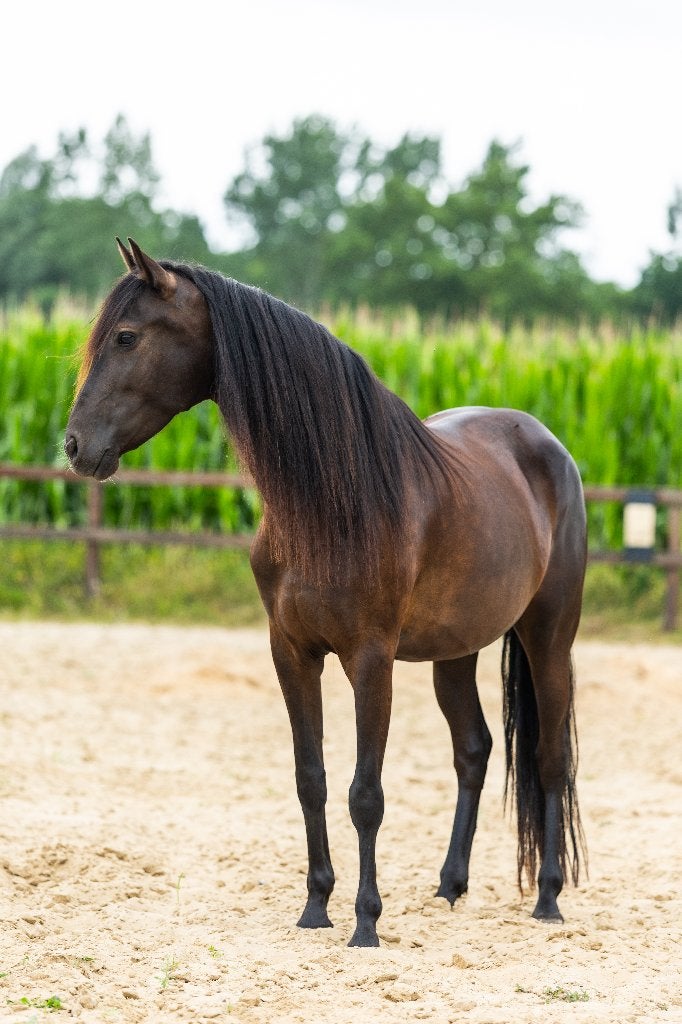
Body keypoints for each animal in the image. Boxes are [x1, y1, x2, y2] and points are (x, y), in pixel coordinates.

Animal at [65, 238, 587, 948]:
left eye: (126, 336)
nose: (74, 446)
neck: (331, 501)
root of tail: (547, 443)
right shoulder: (291, 652)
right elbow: (310, 779)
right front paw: (316, 906)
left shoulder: (370, 658)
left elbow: (365, 793)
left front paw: (366, 922)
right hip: (456, 650)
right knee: (474, 750)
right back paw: (450, 886)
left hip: (548, 635)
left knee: (549, 756)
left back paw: (550, 897)